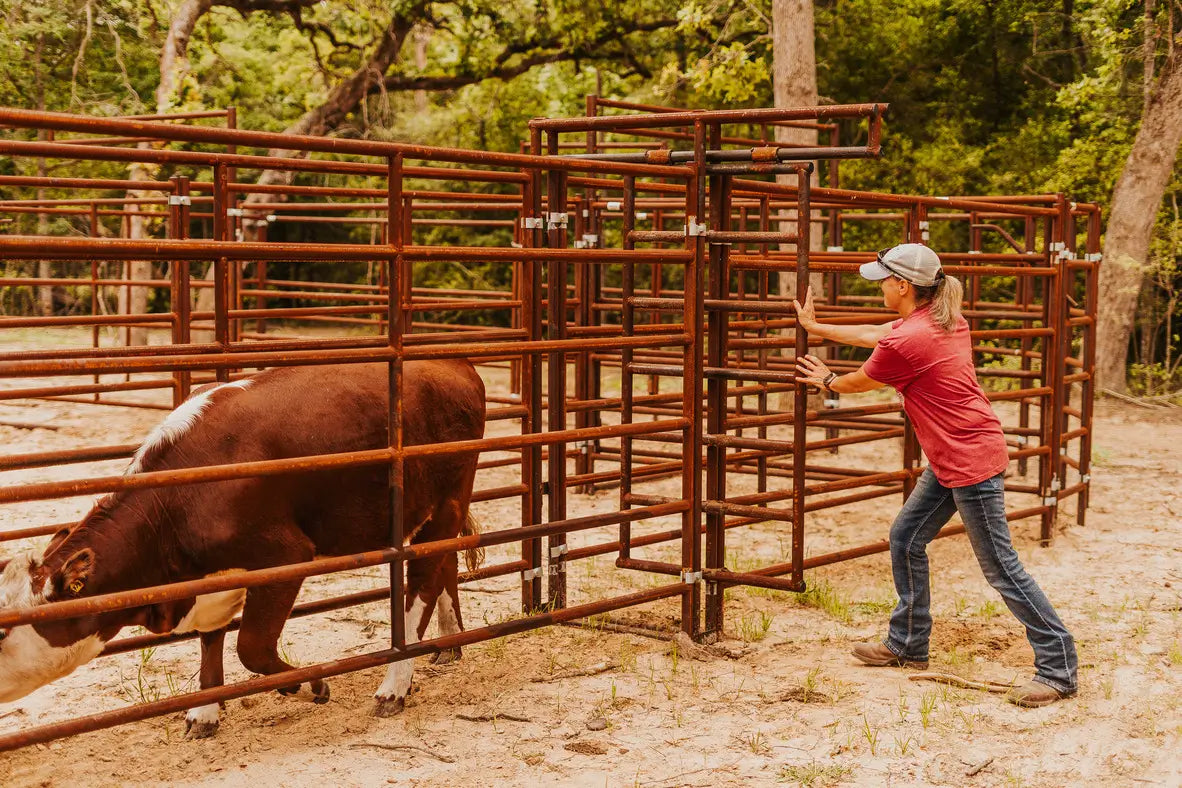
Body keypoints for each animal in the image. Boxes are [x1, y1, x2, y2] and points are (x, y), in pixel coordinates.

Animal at [0, 361, 484, 737]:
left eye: (4, 632)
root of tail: (454, 365)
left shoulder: (285, 555)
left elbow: (249, 646)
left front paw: (311, 685)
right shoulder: (210, 575)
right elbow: (210, 639)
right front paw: (205, 712)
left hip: (446, 502)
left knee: (420, 585)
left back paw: (395, 683)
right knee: (443, 567)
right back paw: (448, 644)